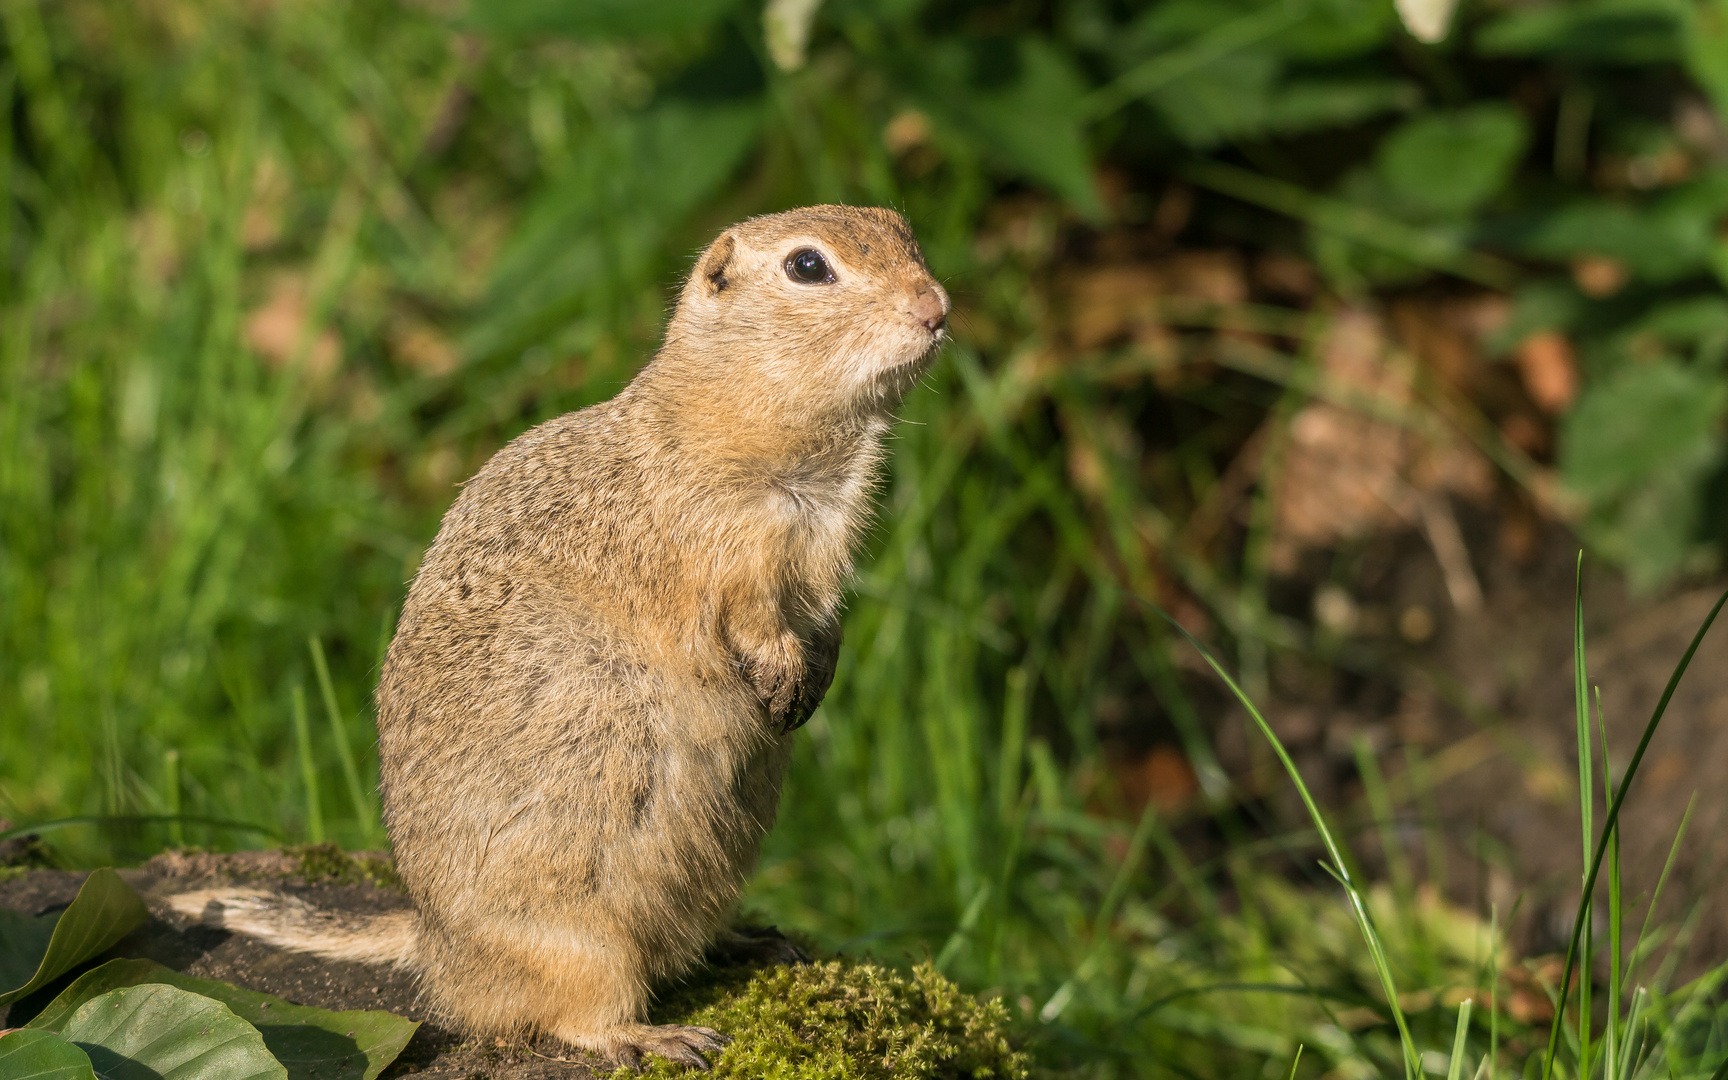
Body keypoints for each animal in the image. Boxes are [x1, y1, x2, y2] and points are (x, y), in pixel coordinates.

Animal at [170, 206, 953, 1064]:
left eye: (903, 228)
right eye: (808, 266)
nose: (937, 307)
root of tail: (432, 943)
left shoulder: (826, 554)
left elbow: (826, 617)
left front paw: (818, 671)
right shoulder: (723, 547)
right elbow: (745, 613)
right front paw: (779, 670)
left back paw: (751, 942)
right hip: (582, 939)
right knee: (570, 1015)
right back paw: (658, 1034)